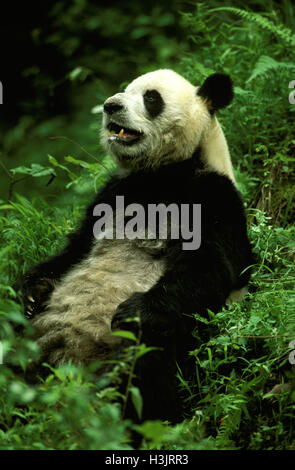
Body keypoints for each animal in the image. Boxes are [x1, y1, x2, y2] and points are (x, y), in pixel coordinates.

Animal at [22, 69, 256, 422]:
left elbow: (211, 268)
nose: (111, 105)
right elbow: (73, 250)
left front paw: (133, 312)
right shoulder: (112, 195)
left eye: (151, 98)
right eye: (126, 89)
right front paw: (32, 291)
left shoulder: (213, 197)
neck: (160, 174)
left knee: (142, 365)